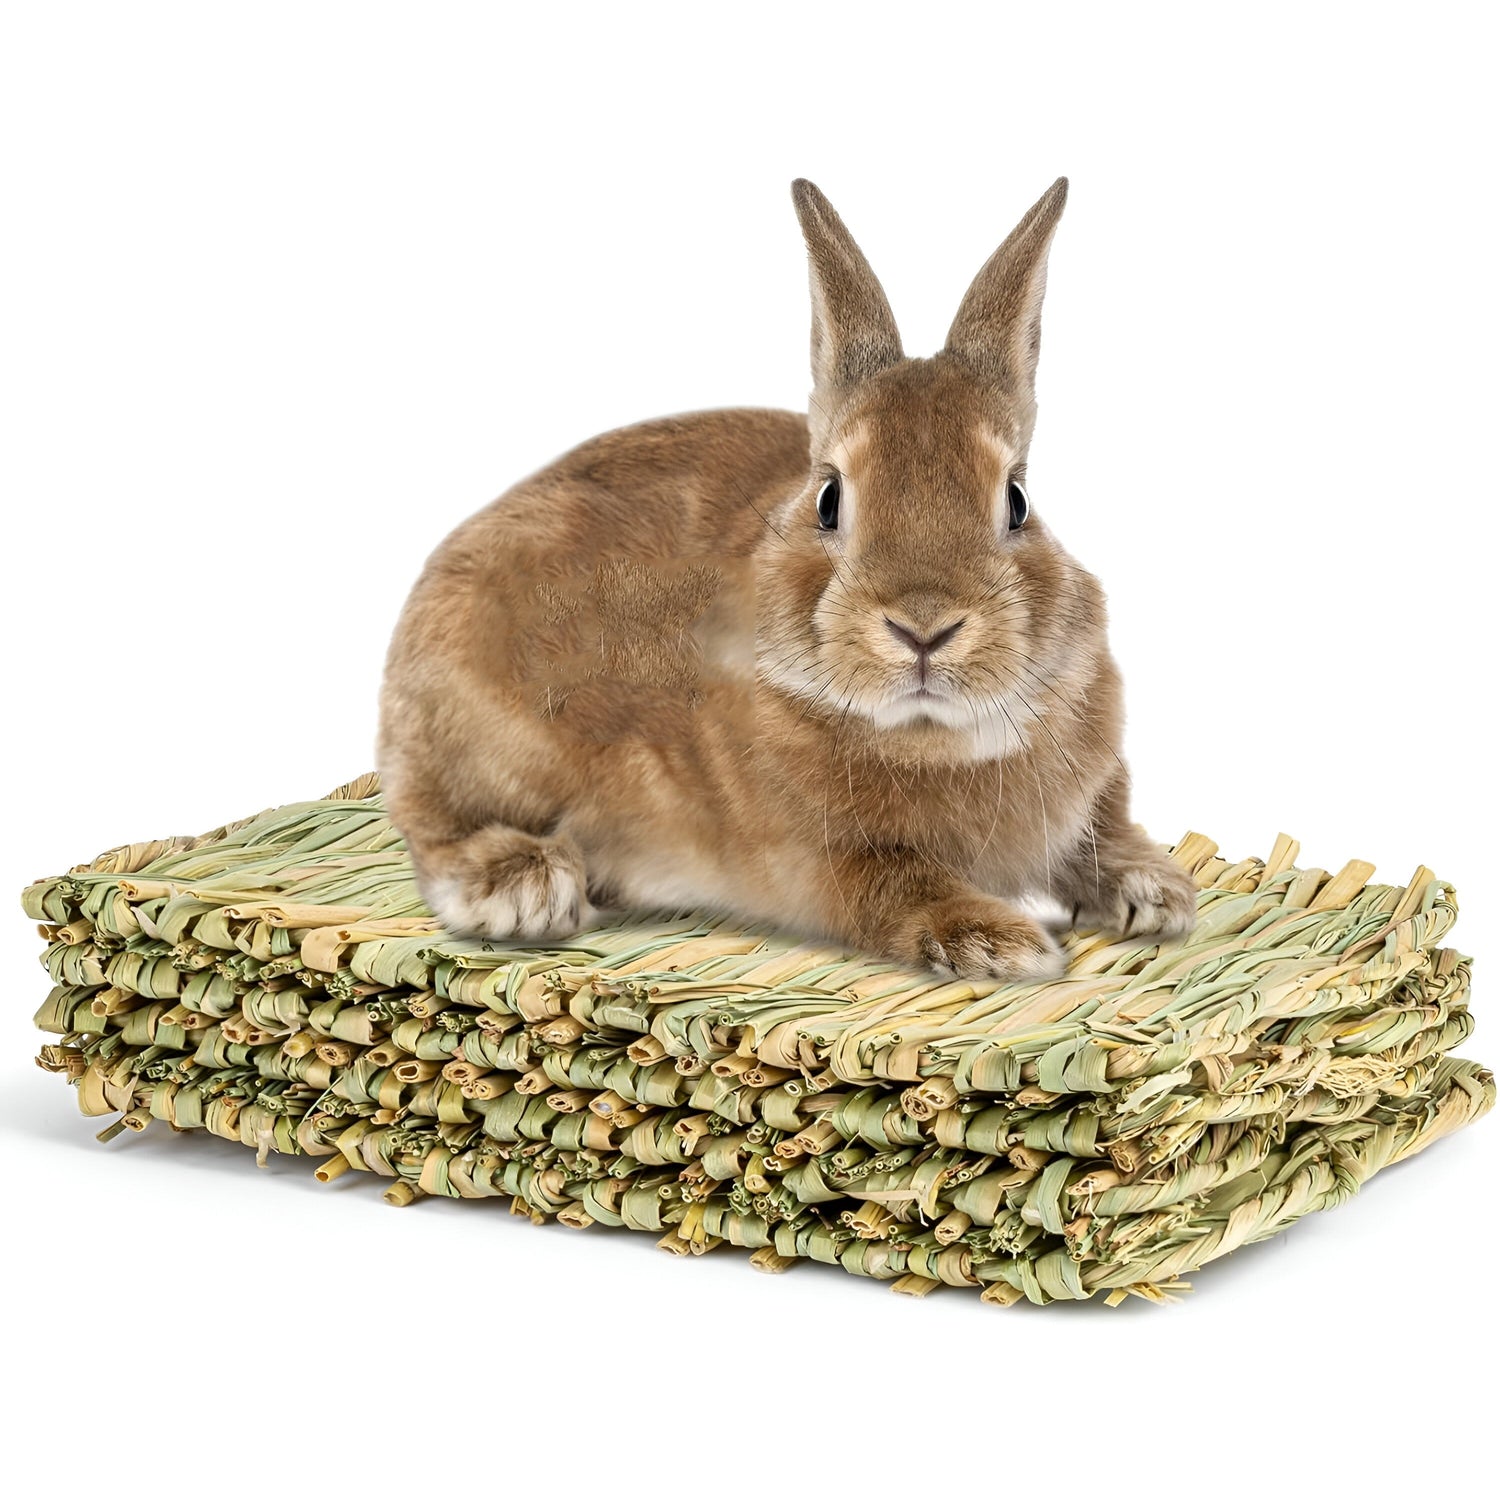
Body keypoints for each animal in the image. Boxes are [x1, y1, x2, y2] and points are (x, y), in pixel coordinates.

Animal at [377, 177, 1196, 982]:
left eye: (1018, 500)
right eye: (829, 498)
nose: (923, 627)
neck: (932, 738)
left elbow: (1101, 832)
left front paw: (1156, 893)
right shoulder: (818, 861)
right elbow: (895, 886)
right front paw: (1004, 943)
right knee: (428, 823)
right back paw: (521, 886)